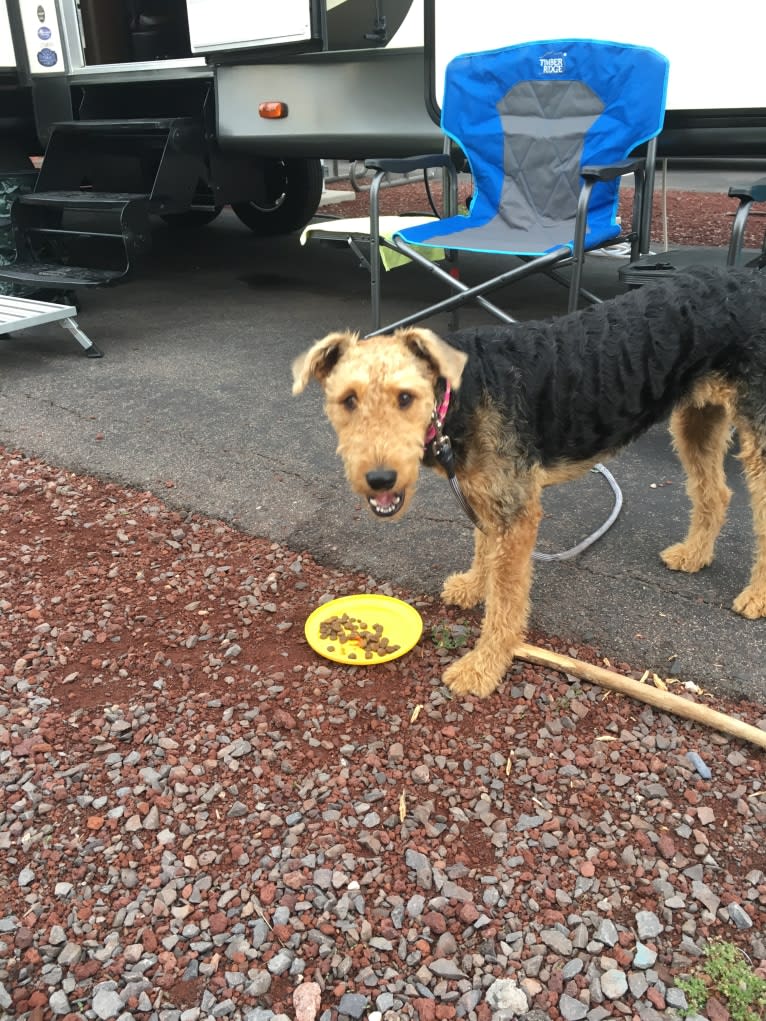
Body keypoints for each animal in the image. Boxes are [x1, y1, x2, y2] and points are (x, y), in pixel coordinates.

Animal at [294, 267, 766, 698]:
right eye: (348, 400)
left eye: (405, 397)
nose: (379, 478)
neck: (459, 395)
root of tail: (751, 279)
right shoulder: (488, 495)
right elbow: (483, 548)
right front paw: (471, 586)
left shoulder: (517, 512)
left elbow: (506, 602)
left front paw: (482, 667)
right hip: (697, 419)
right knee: (715, 492)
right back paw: (693, 554)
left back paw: (755, 597)